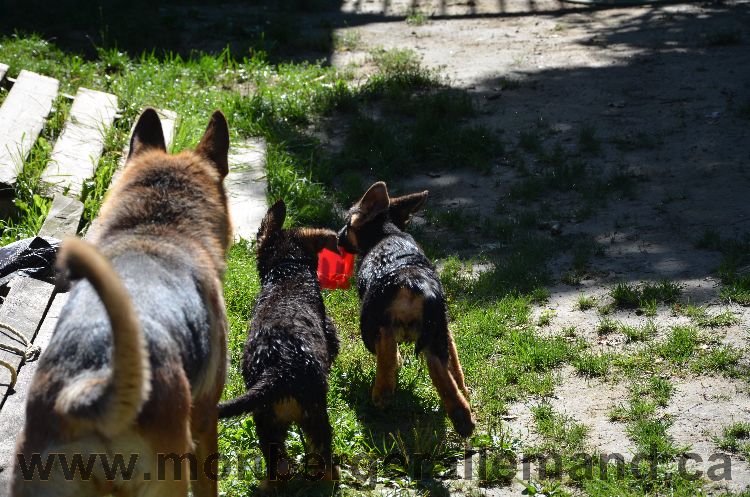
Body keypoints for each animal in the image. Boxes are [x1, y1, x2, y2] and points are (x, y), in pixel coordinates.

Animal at [219, 200, 342, 482]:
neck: (287, 271)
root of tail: (279, 369)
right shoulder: (329, 331)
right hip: (315, 414)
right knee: (321, 451)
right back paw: (332, 475)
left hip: (264, 420)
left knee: (278, 462)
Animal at [340, 183, 476, 438]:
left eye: (347, 223)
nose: (337, 237)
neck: (386, 233)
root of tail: (412, 282)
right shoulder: (446, 330)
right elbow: (456, 364)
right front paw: (464, 387)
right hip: (436, 331)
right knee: (440, 371)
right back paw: (463, 420)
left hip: (372, 323)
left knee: (386, 349)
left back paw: (382, 394)